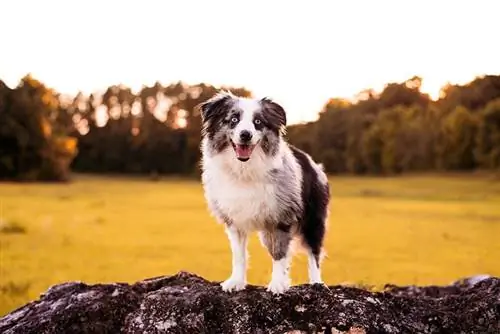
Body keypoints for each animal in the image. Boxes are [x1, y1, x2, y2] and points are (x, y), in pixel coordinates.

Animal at [199, 90, 332, 294]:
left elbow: (279, 253)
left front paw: (277, 284)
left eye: (258, 122)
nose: (245, 135)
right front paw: (235, 282)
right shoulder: (234, 221)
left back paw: (316, 283)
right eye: (234, 119)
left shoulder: (281, 218)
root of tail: (312, 161)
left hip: (313, 220)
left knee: (314, 252)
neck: (244, 170)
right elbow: (239, 256)